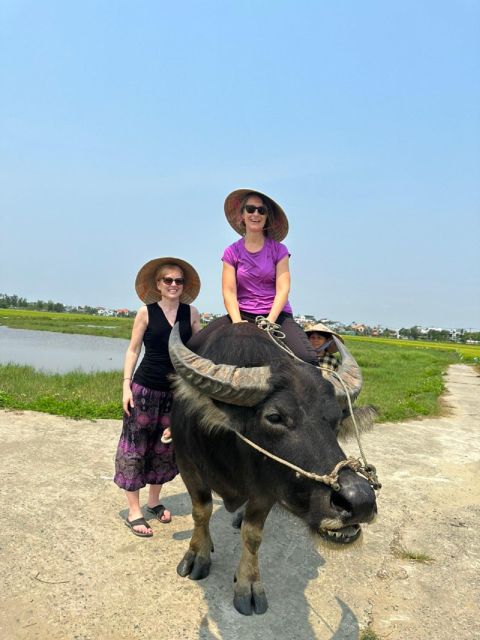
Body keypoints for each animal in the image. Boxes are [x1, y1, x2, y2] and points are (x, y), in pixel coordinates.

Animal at [170, 324, 378, 616]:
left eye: (336, 419)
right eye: (275, 417)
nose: (360, 500)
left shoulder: (267, 487)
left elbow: (252, 534)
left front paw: (248, 585)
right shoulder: (186, 463)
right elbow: (201, 511)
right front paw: (197, 555)